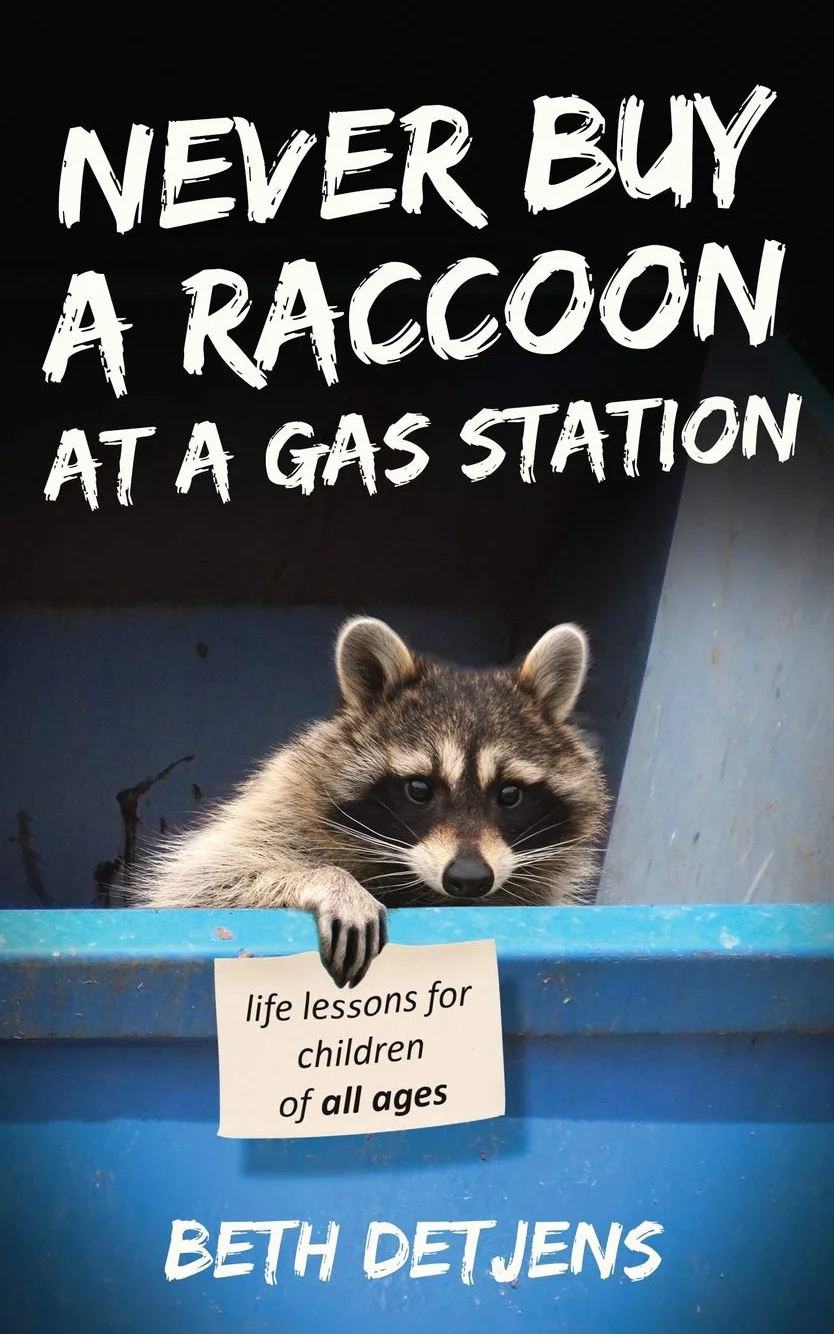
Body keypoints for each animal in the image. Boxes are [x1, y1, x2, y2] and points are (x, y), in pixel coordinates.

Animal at [133, 618, 608, 988]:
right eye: (419, 789)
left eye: (509, 794)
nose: (469, 878)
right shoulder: (277, 805)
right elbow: (201, 885)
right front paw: (329, 880)